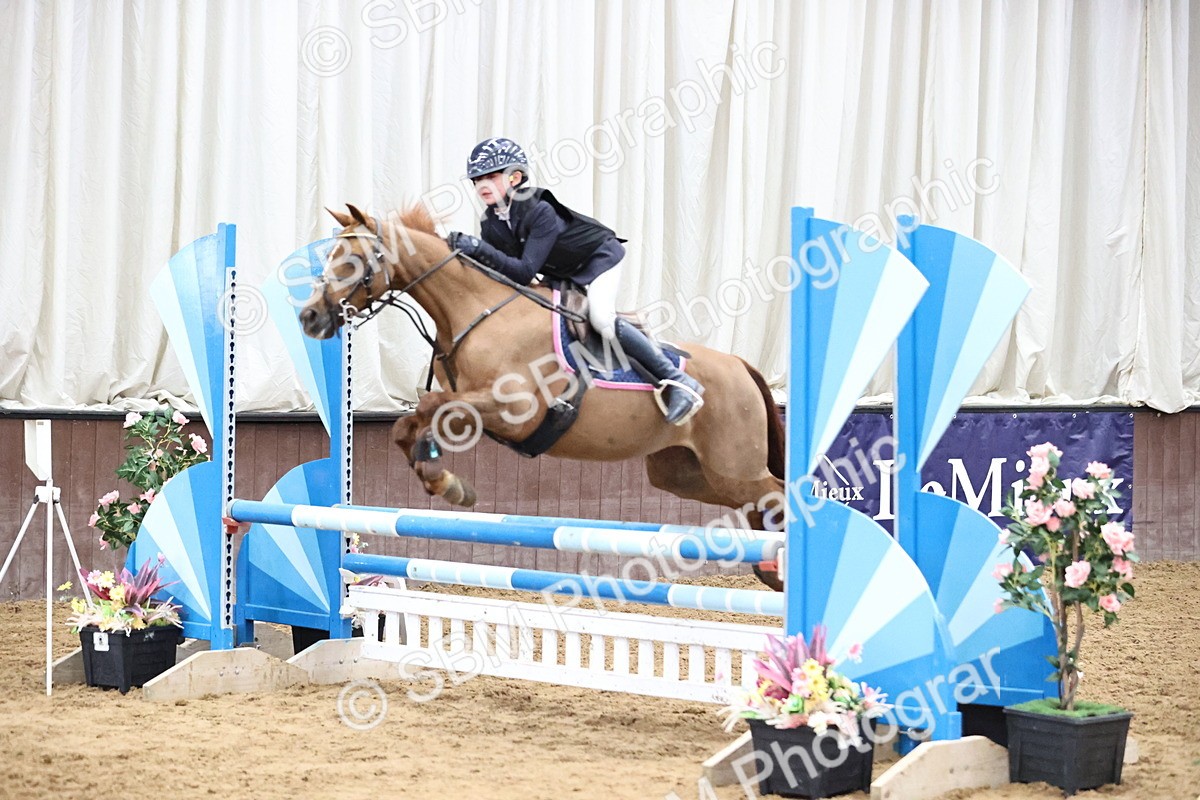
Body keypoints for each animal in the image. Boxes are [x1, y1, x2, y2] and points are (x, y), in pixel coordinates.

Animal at [299, 203, 787, 589]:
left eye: (353, 259)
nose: (309, 317)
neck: (474, 311)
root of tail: (741, 365)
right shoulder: (473, 407)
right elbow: (409, 423)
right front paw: (445, 481)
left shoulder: (514, 410)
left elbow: (432, 407)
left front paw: (445, 480)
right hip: (684, 473)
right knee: (758, 503)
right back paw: (771, 571)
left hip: (732, 466)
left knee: (778, 493)